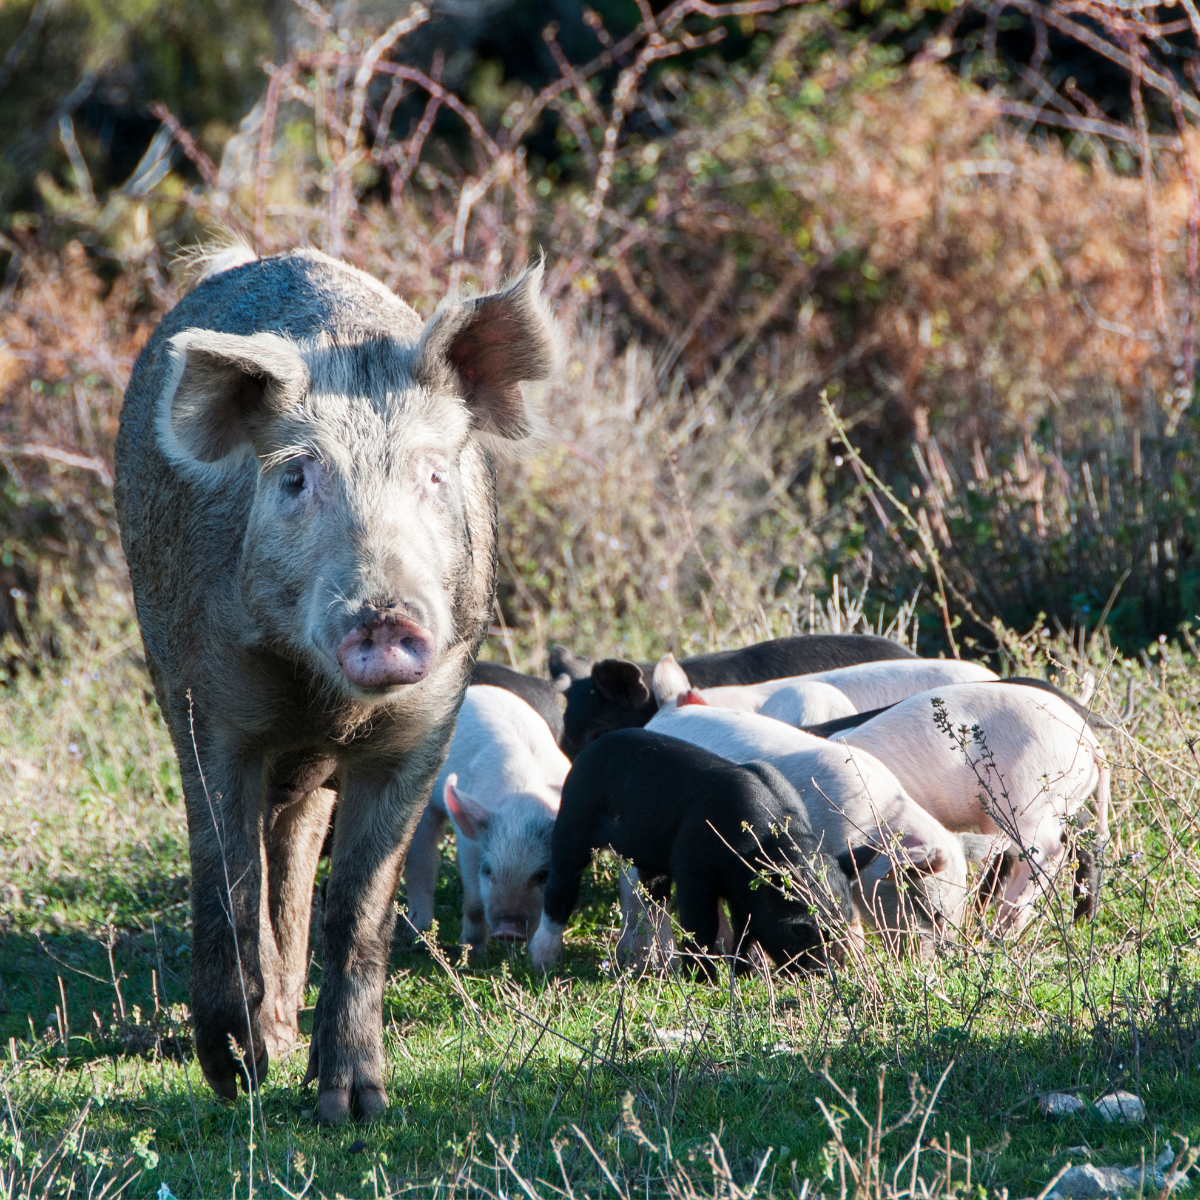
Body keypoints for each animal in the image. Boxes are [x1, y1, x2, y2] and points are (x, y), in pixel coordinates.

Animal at [403, 684, 569, 952]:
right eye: (489, 870)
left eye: (543, 875)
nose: (508, 931)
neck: (524, 804)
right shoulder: (469, 842)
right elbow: (474, 904)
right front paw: (472, 951)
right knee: (420, 865)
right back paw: (418, 935)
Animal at [529, 730, 874, 976]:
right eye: (799, 928)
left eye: (844, 922)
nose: (823, 973)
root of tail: (593, 747)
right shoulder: (692, 868)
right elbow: (702, 924)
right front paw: (704, 979)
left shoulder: (742, 891)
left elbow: (745, 927)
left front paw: (749, 974)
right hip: (573, 821)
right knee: (560, 889)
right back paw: (543, 962)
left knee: (654, 899)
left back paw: (660, 963)